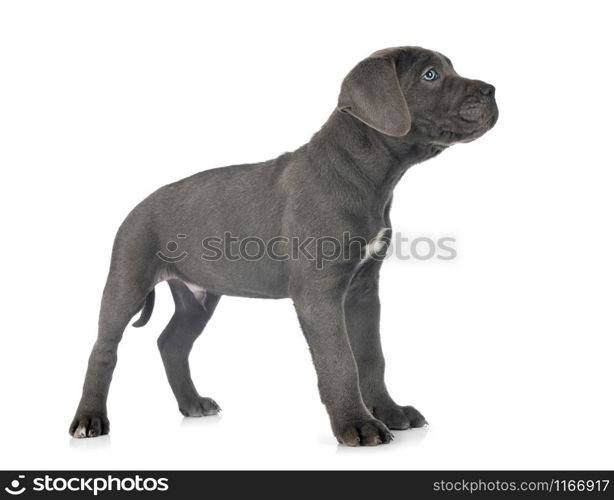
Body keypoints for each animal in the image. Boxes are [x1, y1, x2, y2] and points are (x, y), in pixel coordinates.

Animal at [70, 47, 498, 446]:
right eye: (430, 75)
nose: (492, 90)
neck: (364, 173)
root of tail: (136, 206)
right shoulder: (319, 293)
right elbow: (340, 360)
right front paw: (356, 425)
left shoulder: (363, 291)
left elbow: (371, 356)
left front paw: (390, 412)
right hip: (126, 278)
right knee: (103, 348)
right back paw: (89, 419)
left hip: (198, 297)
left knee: (171, 343)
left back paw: (192, 404)